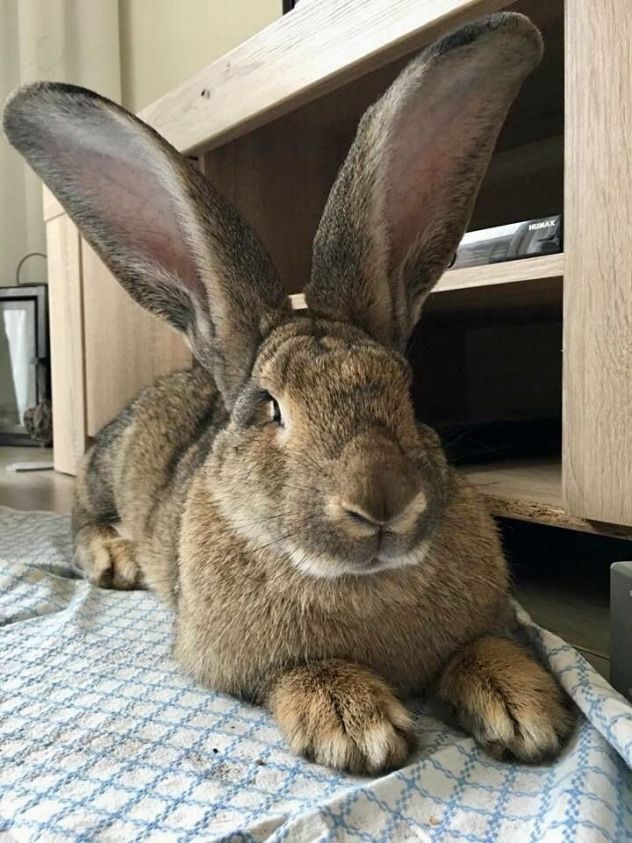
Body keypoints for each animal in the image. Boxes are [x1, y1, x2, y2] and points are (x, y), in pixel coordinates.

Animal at [1, 11, 572, 780]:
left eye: (407, 391)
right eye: (271, 407)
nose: (382, 499)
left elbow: (485, 644)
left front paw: (523, 708)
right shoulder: (234, 658)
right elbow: (296, 671)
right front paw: (352, 723)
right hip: (105, 471)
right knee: (79, 516)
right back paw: (116, 558)